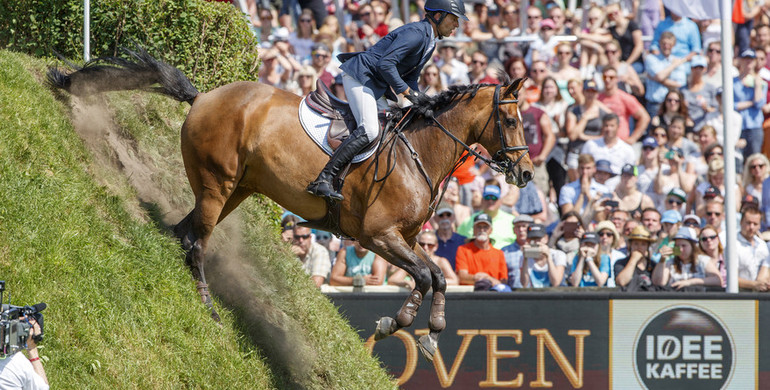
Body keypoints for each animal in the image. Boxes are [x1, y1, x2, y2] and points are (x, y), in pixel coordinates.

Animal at [45, 47, 532, 362]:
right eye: (510, 119)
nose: (526, 175)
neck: (420, 153)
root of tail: (203, 96)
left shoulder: (405, 239)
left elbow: (436, 276)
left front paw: (428, 334)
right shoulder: (377, 236)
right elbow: (424, 276)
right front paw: (397, 323)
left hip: (237, 189)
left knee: (185, 234)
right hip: (217, 184)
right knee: (197, 242)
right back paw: (209, 309)